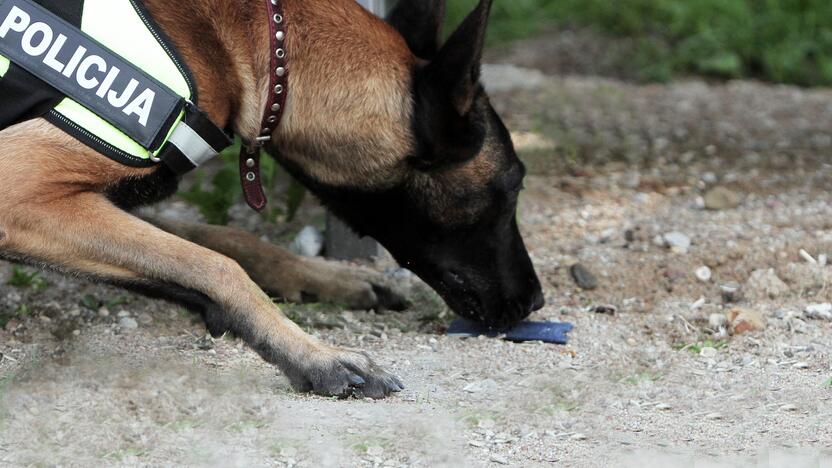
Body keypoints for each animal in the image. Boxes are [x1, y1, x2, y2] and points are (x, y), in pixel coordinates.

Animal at [0, 0, 544, 398]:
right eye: (513, 185)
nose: (536, 300)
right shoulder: (21, 194)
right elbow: (217, 265)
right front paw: (315, 354)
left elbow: (228, 241)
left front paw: (330, 277)